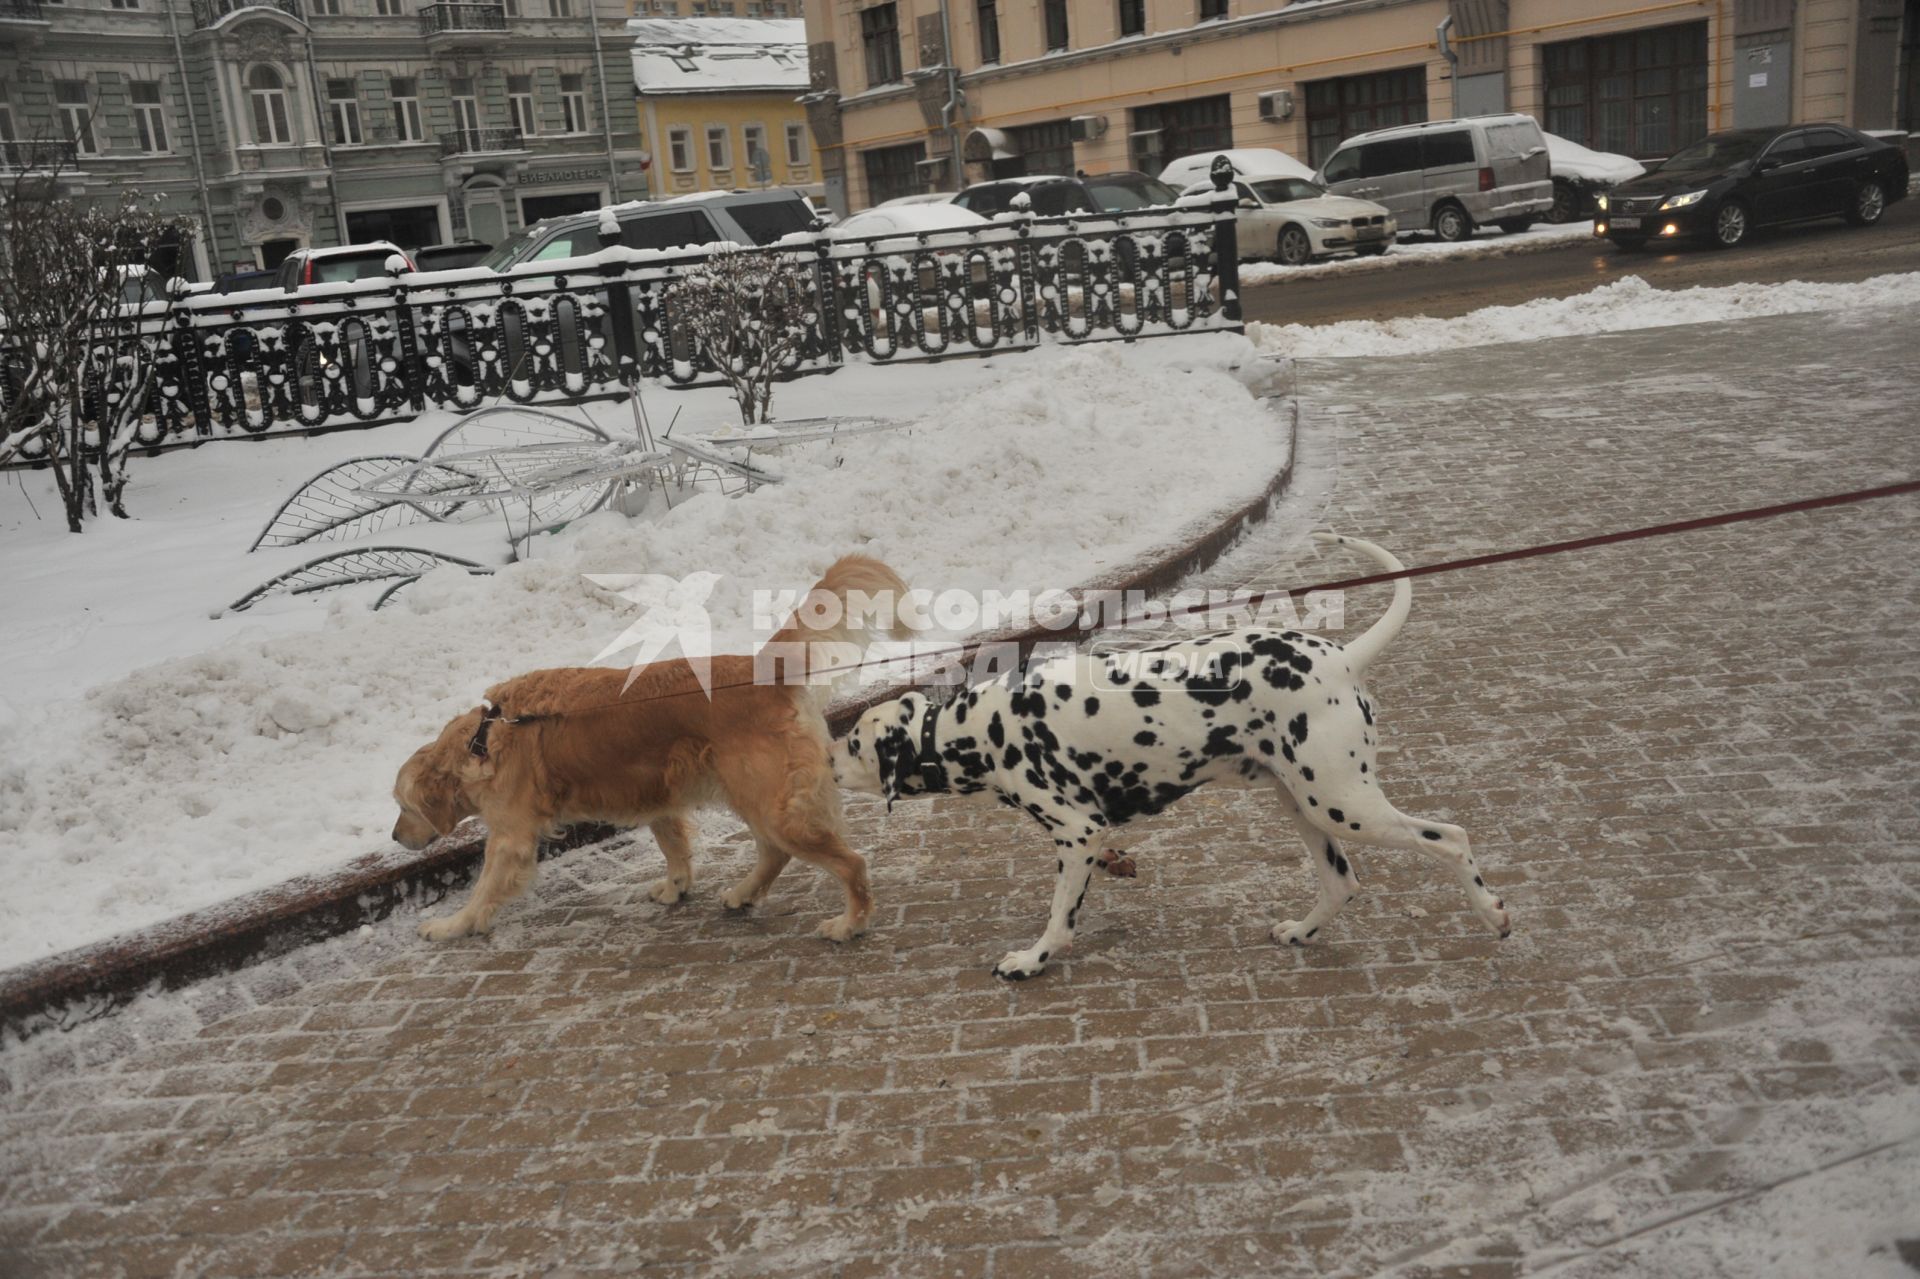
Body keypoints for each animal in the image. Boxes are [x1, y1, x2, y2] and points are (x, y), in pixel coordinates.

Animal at [833, 526, 1505, 975]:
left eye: (855, 743)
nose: (829, 758)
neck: (981, 728)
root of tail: (1342, 657)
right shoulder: (1088, 834)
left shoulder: (1076, 832)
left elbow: (1060, 916)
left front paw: (1033, 959)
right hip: (1304, 806)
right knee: (1343, 883)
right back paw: (1301, 931)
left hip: (1343, 804)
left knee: (1450, 838)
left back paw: (1491, 912)